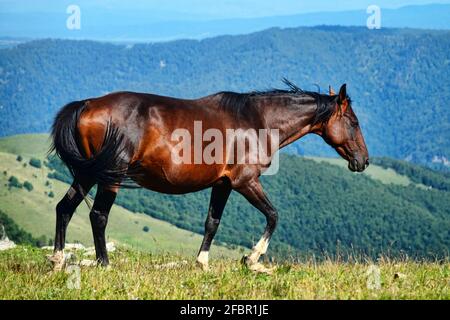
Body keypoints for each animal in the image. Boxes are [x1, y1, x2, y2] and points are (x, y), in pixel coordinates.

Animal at [48, 80, 370, 272]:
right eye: (353, 122)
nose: (363, 161)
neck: (257, 121)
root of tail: (87, 104)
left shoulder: (223, 184)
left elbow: (212, 223)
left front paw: (202, 262)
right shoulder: (245, 182)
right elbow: (273, 215)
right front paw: (252, 259)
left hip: (88, 173)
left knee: (64, 208)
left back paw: (57, 260)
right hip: (109, 176)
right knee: (98, 215)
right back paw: (104, 263)